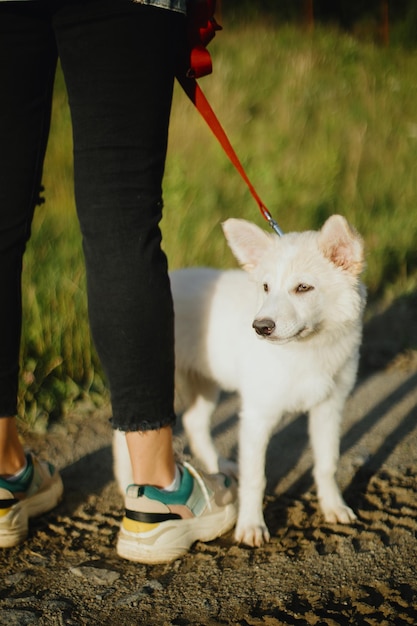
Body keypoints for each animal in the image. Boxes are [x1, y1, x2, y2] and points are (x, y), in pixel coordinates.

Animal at [114, 214, 364, 544]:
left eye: (303, 287)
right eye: (266, 287)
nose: (260, 327)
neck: (307, 350)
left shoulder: (329, 407)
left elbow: (327, 463)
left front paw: (334, 506)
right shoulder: (257, 416)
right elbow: (256, 478)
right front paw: (250, 526)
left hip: (204, 384)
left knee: (194, 422)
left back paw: (219, 466)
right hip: (161, 383)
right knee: (125, 433)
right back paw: (127, 483)